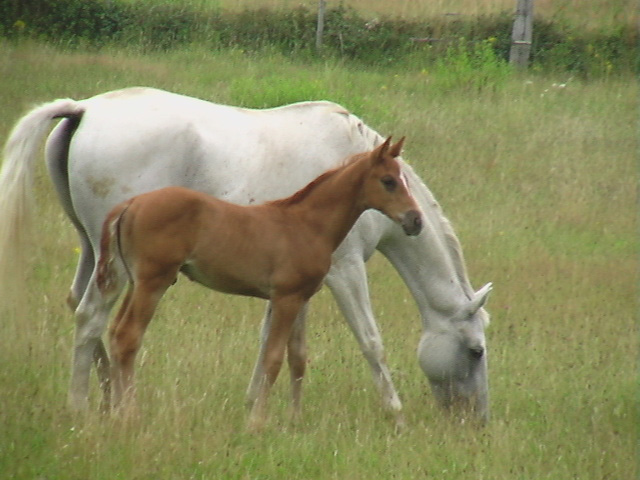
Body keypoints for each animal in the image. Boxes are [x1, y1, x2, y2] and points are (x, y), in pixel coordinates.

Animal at [0, 87, 492, 424]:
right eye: (475, 351)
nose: (476, 420)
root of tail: (83, 108)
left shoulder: (295, 287)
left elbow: (281, 347)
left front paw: (261, 408)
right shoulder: (346, 271)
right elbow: (370, 341)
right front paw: (396, 413)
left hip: (95, 250)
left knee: (83, 311)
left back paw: (102, 398)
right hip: (125, 272)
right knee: (95, 320)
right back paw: (86, 405)